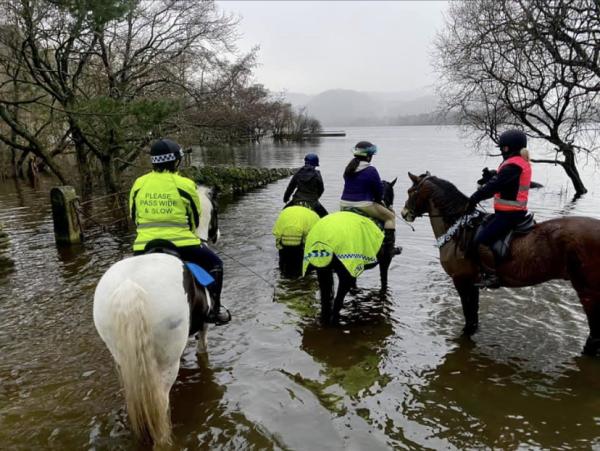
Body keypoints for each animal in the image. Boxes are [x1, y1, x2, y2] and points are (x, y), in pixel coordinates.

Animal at [91, 185, 218, 446]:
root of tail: (130, 287)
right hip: (166, 363)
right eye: (216, 211)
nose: (216, 235)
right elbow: (202, 347)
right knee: (161, 403)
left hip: (123, 359)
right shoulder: (203, 327)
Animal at [308, 180, 400, 324]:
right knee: (337, 303)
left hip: (323, 272)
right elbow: (384, 281)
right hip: (345, 275)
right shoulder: (385, 261)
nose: (390, 207)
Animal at [400, 172, 600, 356]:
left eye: (411, 191)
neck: (458, 228)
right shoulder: (472, 283)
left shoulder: (462, 281)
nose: (404, 213)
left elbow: (469, 316)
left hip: (587, 291)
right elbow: (473, 316)